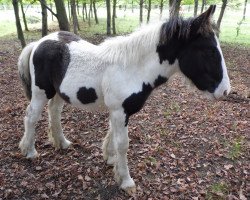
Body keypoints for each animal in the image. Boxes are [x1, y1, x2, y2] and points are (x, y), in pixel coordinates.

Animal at [18, 5, 230, 195]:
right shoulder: (120, 112)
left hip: (58, 93)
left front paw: (111, 160)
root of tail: (38, 43)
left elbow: (112, 136)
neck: (131, 69)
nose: (225, 91)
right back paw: (30, 152)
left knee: (54, 112)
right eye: (209, 51)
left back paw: (62, 143)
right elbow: (123, 144)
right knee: (31, 117)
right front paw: (126, 181)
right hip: (40, 92)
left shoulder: (118, 112)